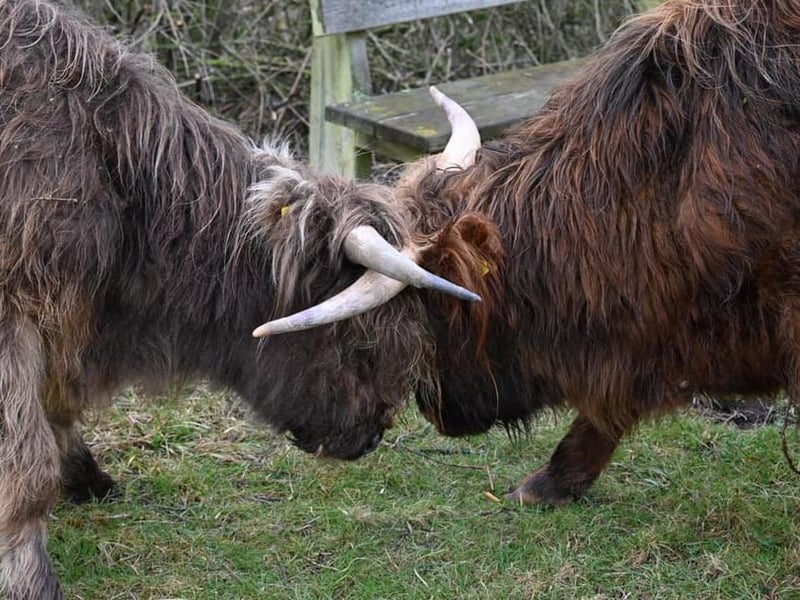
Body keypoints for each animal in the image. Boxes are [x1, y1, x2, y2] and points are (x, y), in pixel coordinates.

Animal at [0, 0, 480, 597]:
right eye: (360, 343)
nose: (371, 434)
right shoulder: (15, 318)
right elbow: (26, 459)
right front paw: (30, 575)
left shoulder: (63, 316)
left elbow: (55, 412)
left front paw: (87, 478)